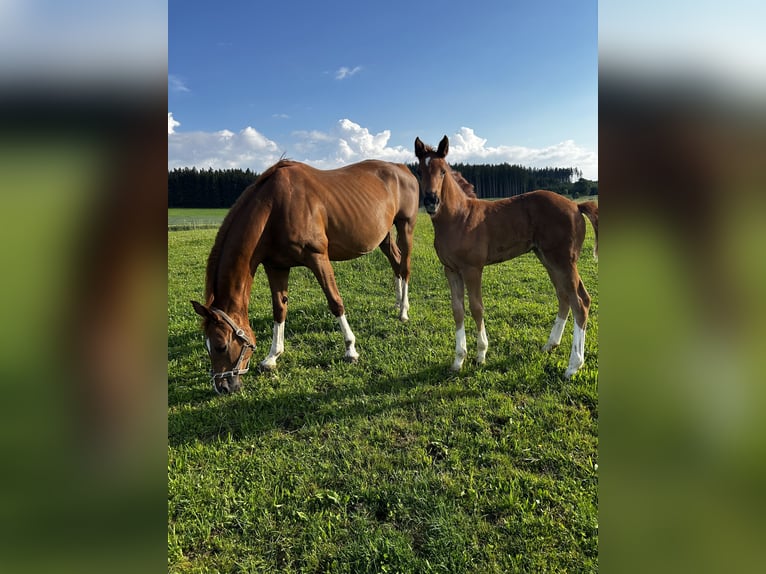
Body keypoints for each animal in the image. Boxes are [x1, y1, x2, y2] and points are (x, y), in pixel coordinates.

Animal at [191, 158, 419, 394]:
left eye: (221, 346)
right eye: (207, 346)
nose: (222, 386)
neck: (274, 208)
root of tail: (402, 167)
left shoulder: (317, 257)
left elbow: (335, 301)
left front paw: (350, 349)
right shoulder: (276, 266)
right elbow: (279, 309)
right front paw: (272, 357)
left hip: (405, 226)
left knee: (405, 266)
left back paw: (403, 311)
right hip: (384, 234)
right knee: (396, 262)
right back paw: (398, 303)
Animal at [414, 136, 598, 378]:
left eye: (443, 171)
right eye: (419, 172)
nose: (431, 201)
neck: (459, 218)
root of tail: (576, 206)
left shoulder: (473, 269)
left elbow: (476, 307)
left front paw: (480, 355)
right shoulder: (450, 270)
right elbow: (457, 310)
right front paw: (458, 360)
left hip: (564, 261)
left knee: (581, 302)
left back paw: (573, 365)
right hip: (548, 259)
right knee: (564, 296)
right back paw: (551, 345)